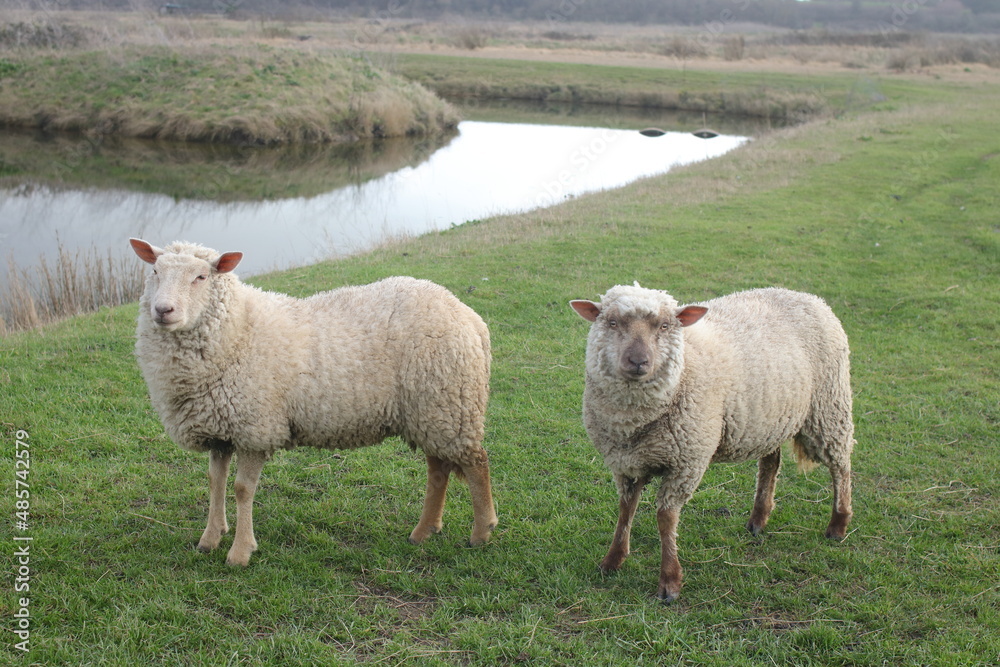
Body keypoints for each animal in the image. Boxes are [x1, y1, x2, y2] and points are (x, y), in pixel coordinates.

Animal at [129, 238, 498, 567]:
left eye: (201, 277)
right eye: (155, 271)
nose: (163, 310)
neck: (237, 329)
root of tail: (469, 316)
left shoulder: (255, 428)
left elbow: (242, 489)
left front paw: (240, 552)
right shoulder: (220, 429)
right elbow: (215, 483)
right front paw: (210, 538)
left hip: (450, 402)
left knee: (476, 463)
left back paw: (481, 532)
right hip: (431, 410)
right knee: (438, 470)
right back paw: (423, 531)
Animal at [570, 284, 854, 602]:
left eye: (665, 326)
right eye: (612, 322)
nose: (639, 361)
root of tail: (805, 296)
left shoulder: (687, 462)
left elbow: (665, 518)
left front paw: (670, 582)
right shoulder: (625, 463)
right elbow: (625, 509)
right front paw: (613, 560)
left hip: (828, 407)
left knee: (841, 466)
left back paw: (838, 524)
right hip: (770, 418)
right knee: (771, 463)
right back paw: (759, 519)